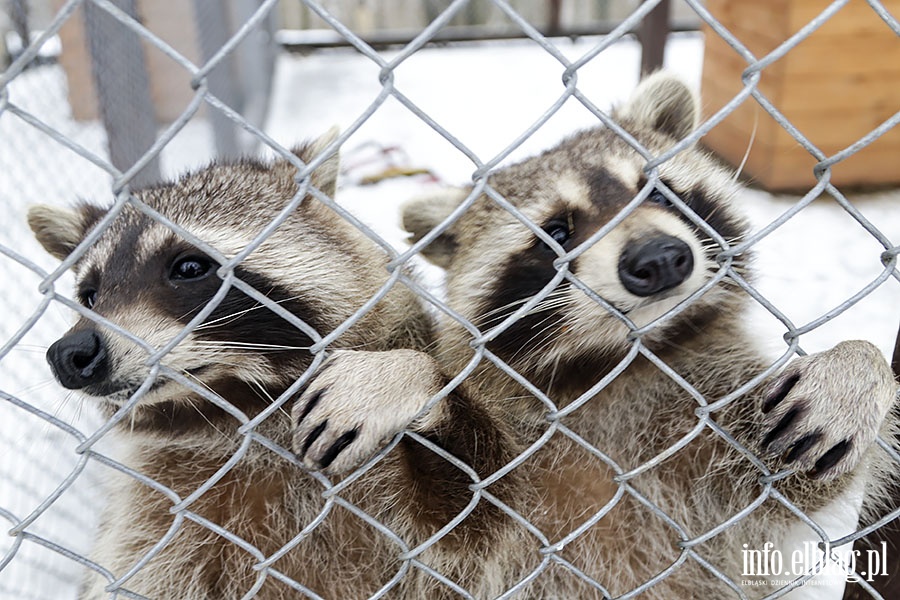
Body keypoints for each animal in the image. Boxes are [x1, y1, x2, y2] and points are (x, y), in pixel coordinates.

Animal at [28, 134, 516, 596]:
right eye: (90, 296)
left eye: (188, 267)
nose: (69, 354)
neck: (238, 410)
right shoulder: (150, 519)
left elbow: (481, 522)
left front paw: (402, 375)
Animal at [292, 72, 896, 596]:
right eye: (556, 232)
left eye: (659, 193)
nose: (660, 258)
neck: (618, 363)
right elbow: (466, 522)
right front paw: (411, 377)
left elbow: (797, 483)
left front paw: (857, 363)